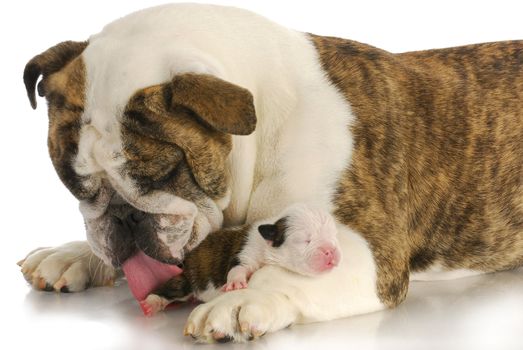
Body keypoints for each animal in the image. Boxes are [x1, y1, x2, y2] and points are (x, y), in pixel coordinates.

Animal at [141, 204, 342, 316]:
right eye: (306, 240)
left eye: (333, 236)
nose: (330, 250)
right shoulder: (247, 253)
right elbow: (238, 268)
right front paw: (236, 282)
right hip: (189, 280)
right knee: (171, 289)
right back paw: (152, 303)